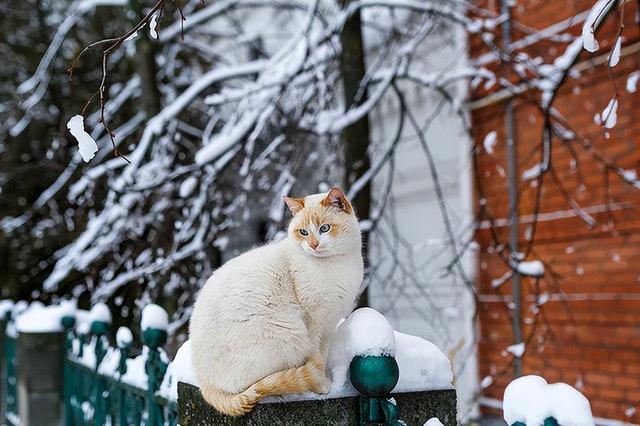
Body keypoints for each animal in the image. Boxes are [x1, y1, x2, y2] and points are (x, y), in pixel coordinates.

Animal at [188, 186, 362, 416]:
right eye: (303, 232)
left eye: (324, 228)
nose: (313, 244)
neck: (337, 264)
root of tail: (204, 383)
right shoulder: (314, 323)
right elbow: (315, 357)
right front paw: (321, 385)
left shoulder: (330, 324)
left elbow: (323, 355)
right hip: (289, 335)